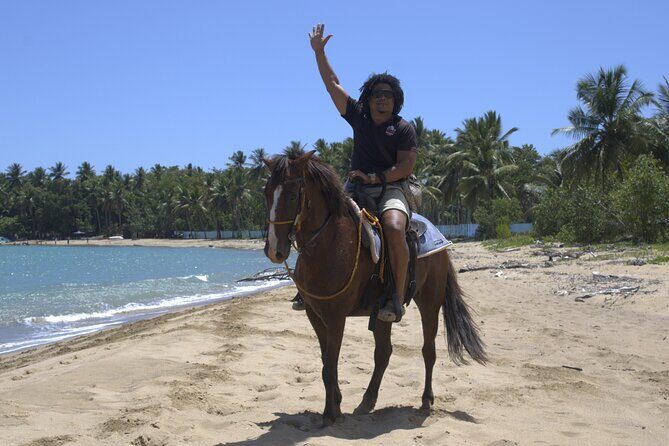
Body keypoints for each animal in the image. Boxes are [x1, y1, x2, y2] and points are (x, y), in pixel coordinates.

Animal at [263, 149, 487, 425]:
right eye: (266, 193)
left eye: (293, 195)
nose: (274, 250)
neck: (330, 244)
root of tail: (441, 240)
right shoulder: (314, 314)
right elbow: (327, 361)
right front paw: (337, 403)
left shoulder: (336, 317)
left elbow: (330, 366)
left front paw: (330, 414)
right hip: (381, 313)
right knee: (383, 352)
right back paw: (367, 400)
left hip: (430, 304)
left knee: (428, 351)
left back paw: (425, 400)